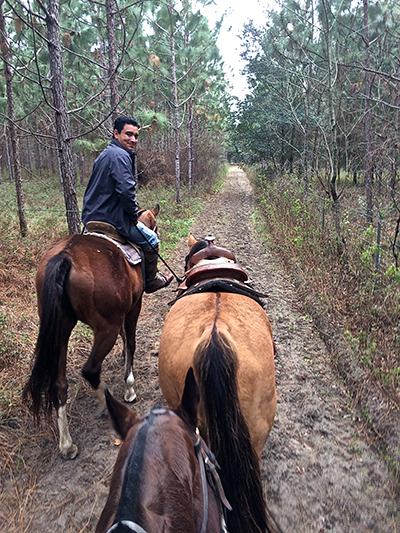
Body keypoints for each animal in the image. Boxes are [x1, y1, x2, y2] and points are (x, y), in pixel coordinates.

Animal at [23, 206, 159, 460]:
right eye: (155, 227)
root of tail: (64, 257)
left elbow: (126, 339)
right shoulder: (133, 306)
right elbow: (131, 341)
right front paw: (129, 387)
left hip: (61, 329)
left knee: (59, 385)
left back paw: (67, 445)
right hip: (106, 327)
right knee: (91, 370)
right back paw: (111, 406)